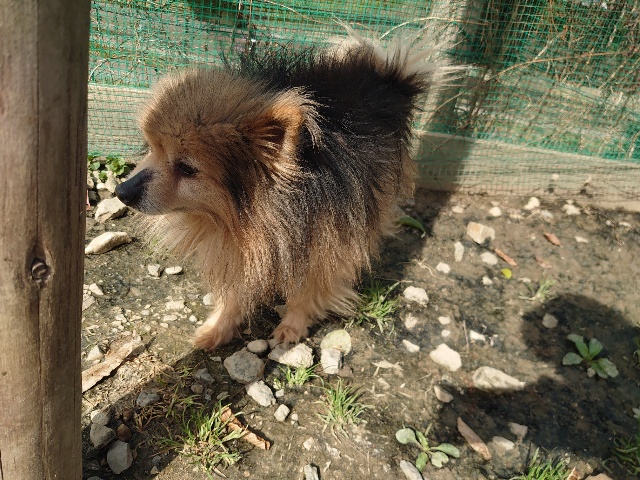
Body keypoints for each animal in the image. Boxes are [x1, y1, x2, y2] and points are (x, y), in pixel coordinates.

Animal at [115, 34, 454, 350]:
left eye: (186, 168)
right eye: (153, 150)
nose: (121, 191)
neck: (255, 214)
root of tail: (386, 77)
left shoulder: (326, 242)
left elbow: (307, 291)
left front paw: (293, 325)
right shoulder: (242, 248)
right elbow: (235, 289)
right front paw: (218, 327)